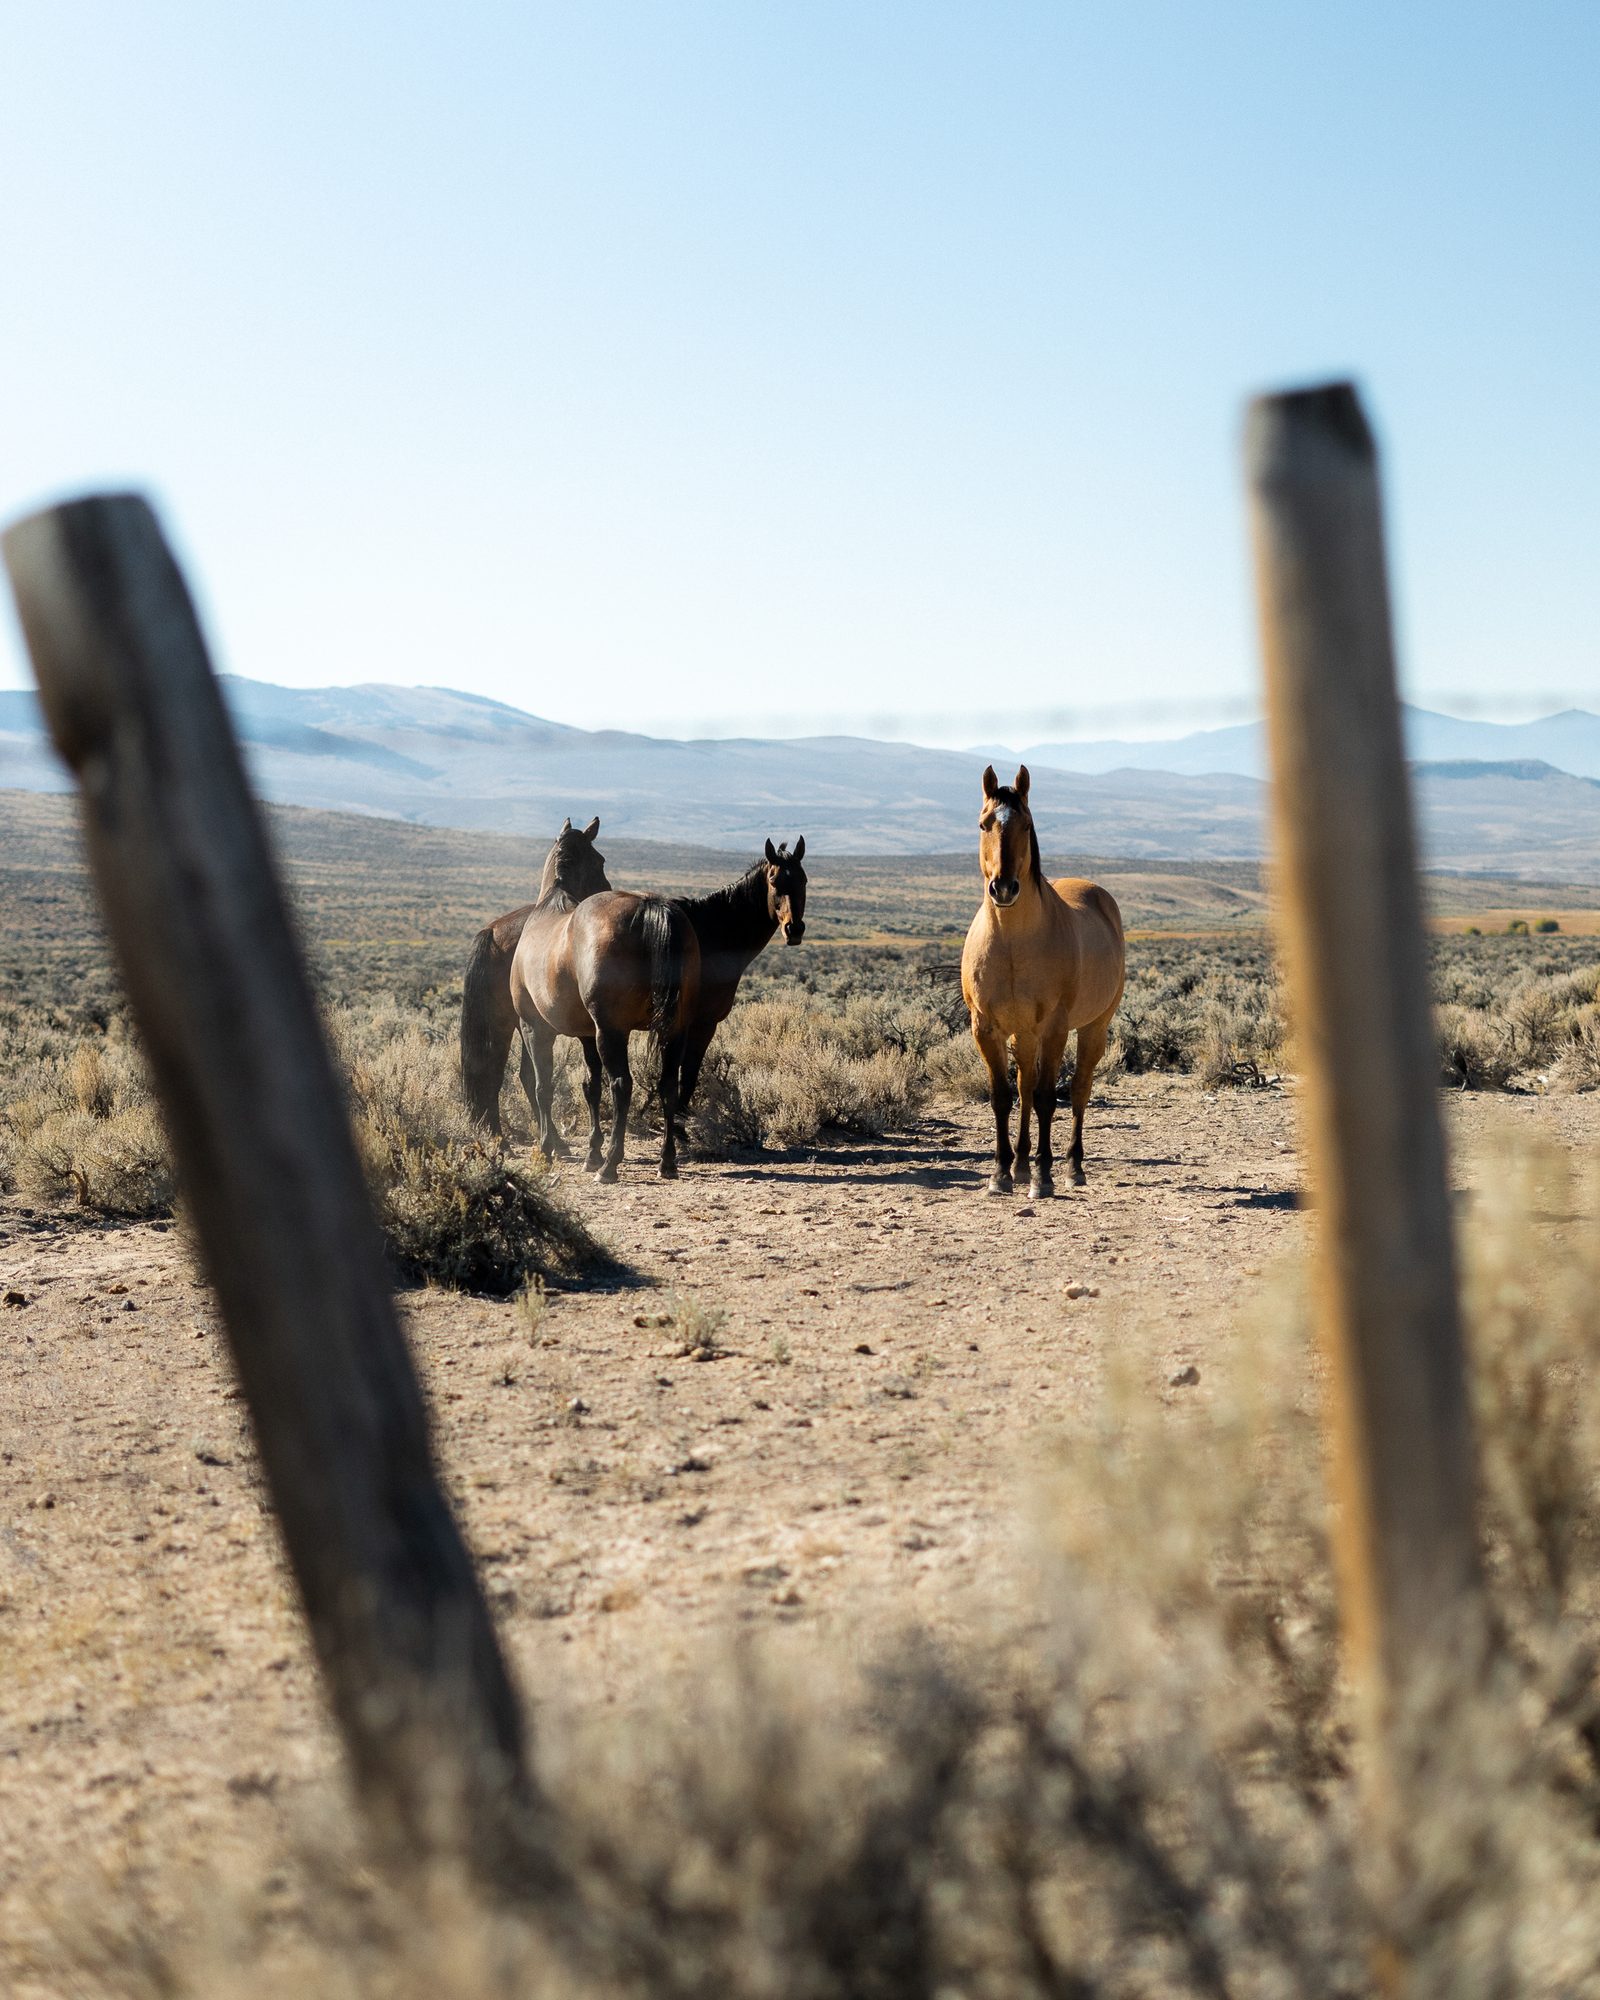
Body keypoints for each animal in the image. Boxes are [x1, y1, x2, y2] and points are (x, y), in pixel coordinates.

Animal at [460, 835, 808, 1148]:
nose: (794, 929)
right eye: (775, 880)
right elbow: (688, 1077)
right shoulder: (702, 1024)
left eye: (803, 880)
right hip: (516, 1023)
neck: (712, 933)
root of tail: (493, 929)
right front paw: (680, 1133)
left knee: (523, 1076)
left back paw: (549, 1142)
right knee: (500, 1074)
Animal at [509, 878, 701, 1183]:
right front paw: (591, 1153)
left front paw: (546, 1150)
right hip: (673, 1032)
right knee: (668, 1086)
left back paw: (610, 1165)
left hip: (612, 1033)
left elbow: (542, 1087)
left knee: (621, 1085)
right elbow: (591, 1087)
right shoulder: (588, 1035)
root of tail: (649, 906)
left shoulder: (535, 1030)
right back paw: (667, 1162)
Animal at [960, 765, 1124, 1198]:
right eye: (984, 824)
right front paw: (1000, 1173)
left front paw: (1044, 1177)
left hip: (1093, 1026)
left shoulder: (1054, 1028)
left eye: (1027, 824)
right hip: (1023, 1033)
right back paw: (1020, 1164)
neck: (1013, 941)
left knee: (1080, 1089)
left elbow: (1049, 1099)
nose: (1004, 888)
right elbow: (1004, 1097)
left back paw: (1072, 1167)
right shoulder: (986, 1027)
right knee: (1024, 1087)